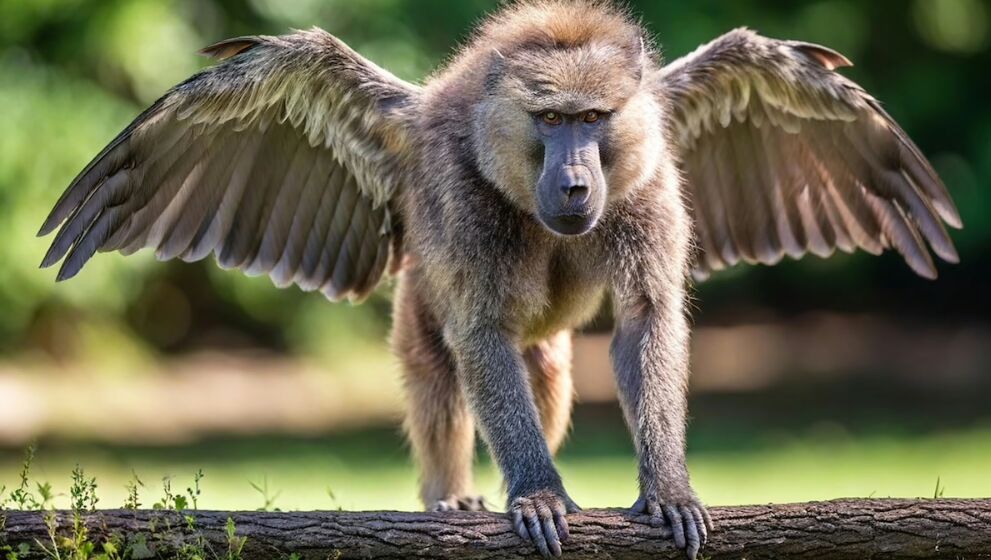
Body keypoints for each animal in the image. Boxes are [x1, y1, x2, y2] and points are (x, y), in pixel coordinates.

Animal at [38, 1, 961, 558]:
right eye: (549, 120)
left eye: (593, 120)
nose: (577, 185)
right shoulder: (454, 188)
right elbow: (478, 333)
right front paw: (538, 496)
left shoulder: (647, 181)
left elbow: (646, 318)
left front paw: (665, 486)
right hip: (416, 308)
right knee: (445, 378)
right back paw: (449, 499)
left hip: (546, 345)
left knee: (544, 374)